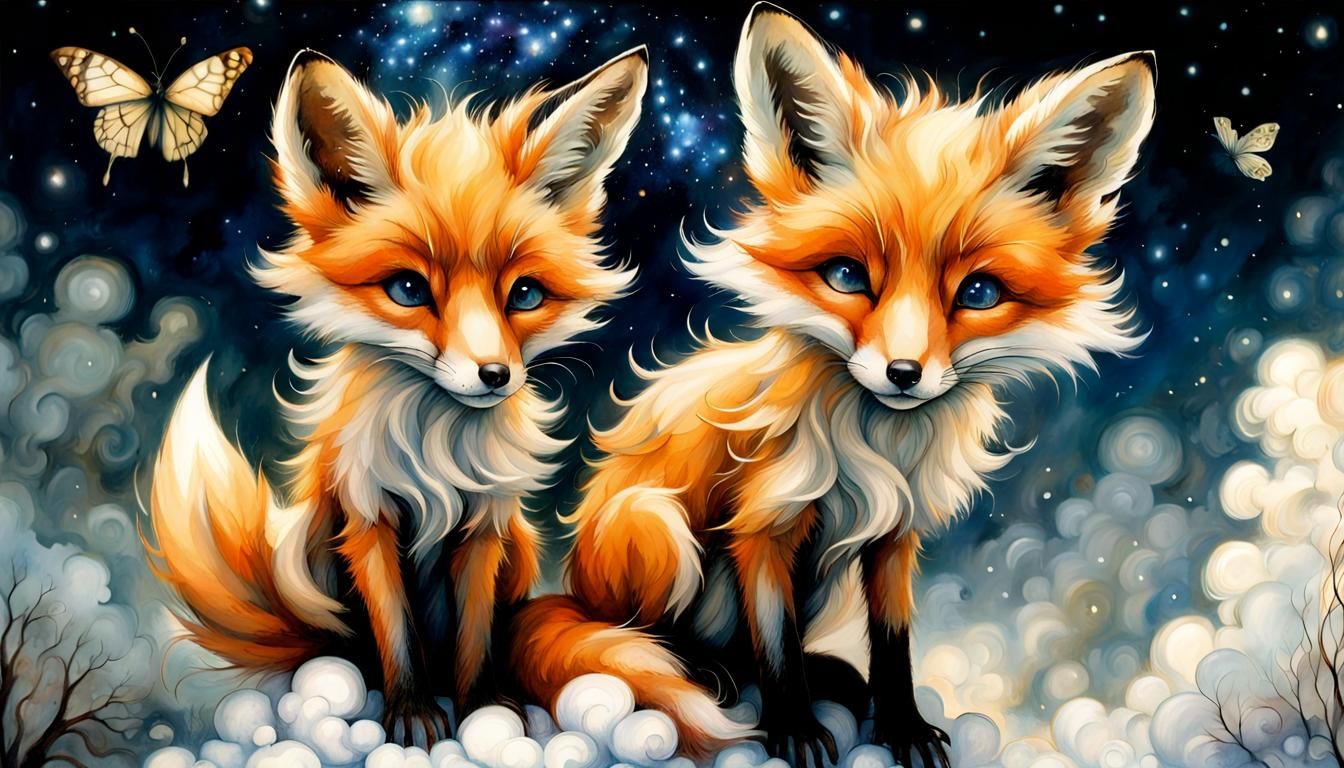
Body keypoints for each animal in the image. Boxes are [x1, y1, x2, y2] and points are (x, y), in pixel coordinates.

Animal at [147, 48, 646, 745]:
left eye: (524, 295)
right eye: (409, 289)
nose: (496, 375)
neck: (436, 448)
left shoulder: (485, 527)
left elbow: (473, 636)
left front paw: (484, 711)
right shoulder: (367, 517)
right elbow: (396, 631)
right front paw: (410, 714)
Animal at [513, 3, 1154, 766]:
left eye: (978, 292)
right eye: (848, 276)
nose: (904, 374)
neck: (877, 447)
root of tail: (571, 594)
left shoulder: (897, 534)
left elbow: (893, 644)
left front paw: (902, 727)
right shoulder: (763, 524)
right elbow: (776, 644)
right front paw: (793, 729)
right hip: (655, 526)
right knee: (655, 640)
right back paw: (706, 672)